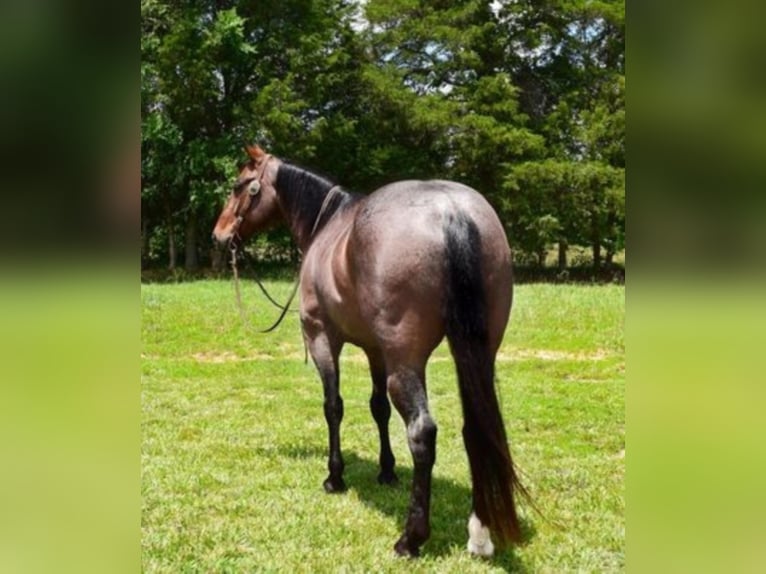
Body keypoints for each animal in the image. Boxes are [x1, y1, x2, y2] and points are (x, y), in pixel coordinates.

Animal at [216, 146, 528, 560]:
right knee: (474, 427)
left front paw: (335, 476)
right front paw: (387, 471)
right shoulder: (375, 351)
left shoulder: (322, 339)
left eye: (240, 185)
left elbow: (333, 407)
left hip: (406, 363)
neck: (328, 226)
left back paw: (411, 538)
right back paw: (479, 534)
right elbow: (378, 408)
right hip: (476, 355)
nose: (220, 234)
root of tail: (451, 212)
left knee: (422, 433)